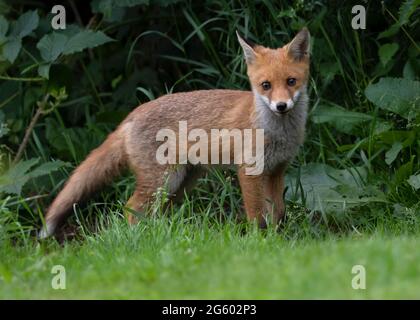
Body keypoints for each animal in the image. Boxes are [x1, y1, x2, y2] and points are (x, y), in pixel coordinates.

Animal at [39, 28, 310, 238]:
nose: (281, 106)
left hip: (180, 183)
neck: (277, 133)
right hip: (163, 181)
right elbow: (257, 215)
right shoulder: (249, 171)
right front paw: (259, 241)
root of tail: (133, 113)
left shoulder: (276, 170)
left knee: (155, 212)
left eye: (291, 81)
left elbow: (278, 212)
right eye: (266, 86)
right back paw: (139, 241)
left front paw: (277, 239)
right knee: (130, 208)